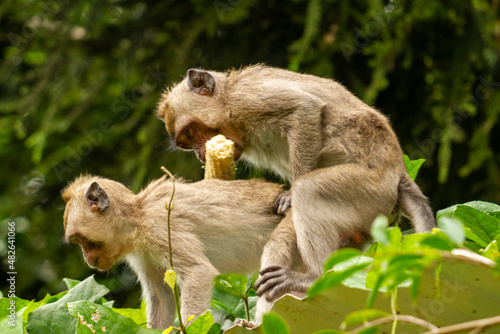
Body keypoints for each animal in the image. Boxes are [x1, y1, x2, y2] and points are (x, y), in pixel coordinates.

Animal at [60, 175, 302, 328]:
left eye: (80, 240)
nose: (88, 260)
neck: (137, 218)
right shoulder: (143, 253)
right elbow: (161, 298)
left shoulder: (159, 226)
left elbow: (198, 272)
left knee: (276, 246)